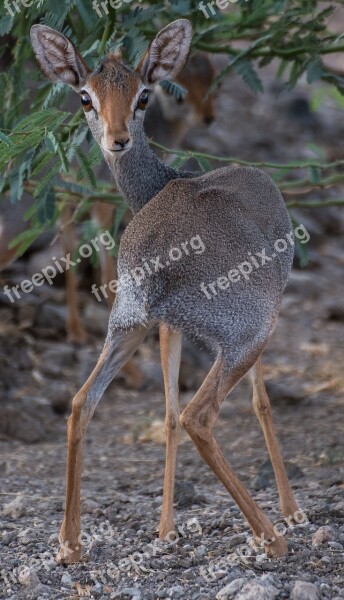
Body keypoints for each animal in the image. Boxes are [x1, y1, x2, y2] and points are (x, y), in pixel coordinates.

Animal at [30, 18, 300, 564]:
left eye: (142, 95)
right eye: (86, 96)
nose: (116, 140)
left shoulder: (164, 325)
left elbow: (167, 411)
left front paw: (165, 527)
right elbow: (258, 404)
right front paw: (290, 509)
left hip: (127, 326)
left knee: (82, 403)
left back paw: (70, 544)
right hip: (247, 333)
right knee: (200, 415)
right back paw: (272, 537)